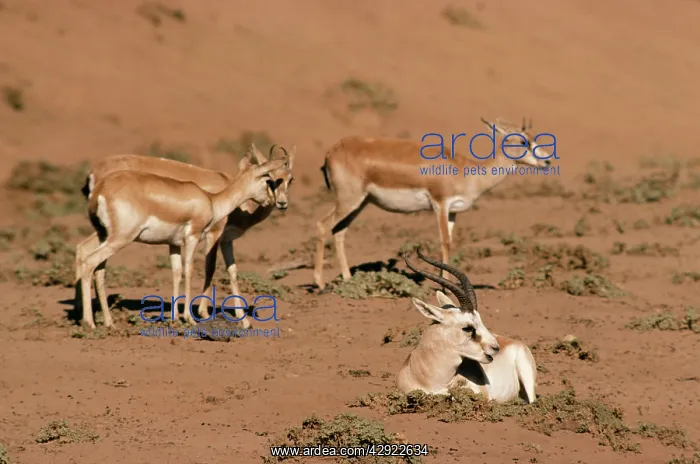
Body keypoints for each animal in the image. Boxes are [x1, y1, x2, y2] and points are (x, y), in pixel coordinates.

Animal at [75, 145, 295, 329]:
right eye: (269, 179)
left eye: (289, 179)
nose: (279, 202)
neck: (211, 199)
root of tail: (99, 190)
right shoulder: (198, 236)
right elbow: (194, 270)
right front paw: (194, 317)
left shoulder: (175, 244)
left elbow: (179, 272)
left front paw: (175, 318)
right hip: (119, 239)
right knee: (90, 262)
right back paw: (89, 323)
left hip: (104, 235)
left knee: (90, 260)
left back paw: (106, 321)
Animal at [313, 117, 555, 290]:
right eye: (523, 141)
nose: (547, 161)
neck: (469, 171)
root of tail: (330, 152)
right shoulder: (440, 204)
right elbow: (444, 242)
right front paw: (445, 287)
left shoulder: (453, 212)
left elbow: (450, 242)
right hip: (349, 201)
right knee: (323, 225)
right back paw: (320, 283)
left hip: (360, 203)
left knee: (339, 231)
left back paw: (347, 279)